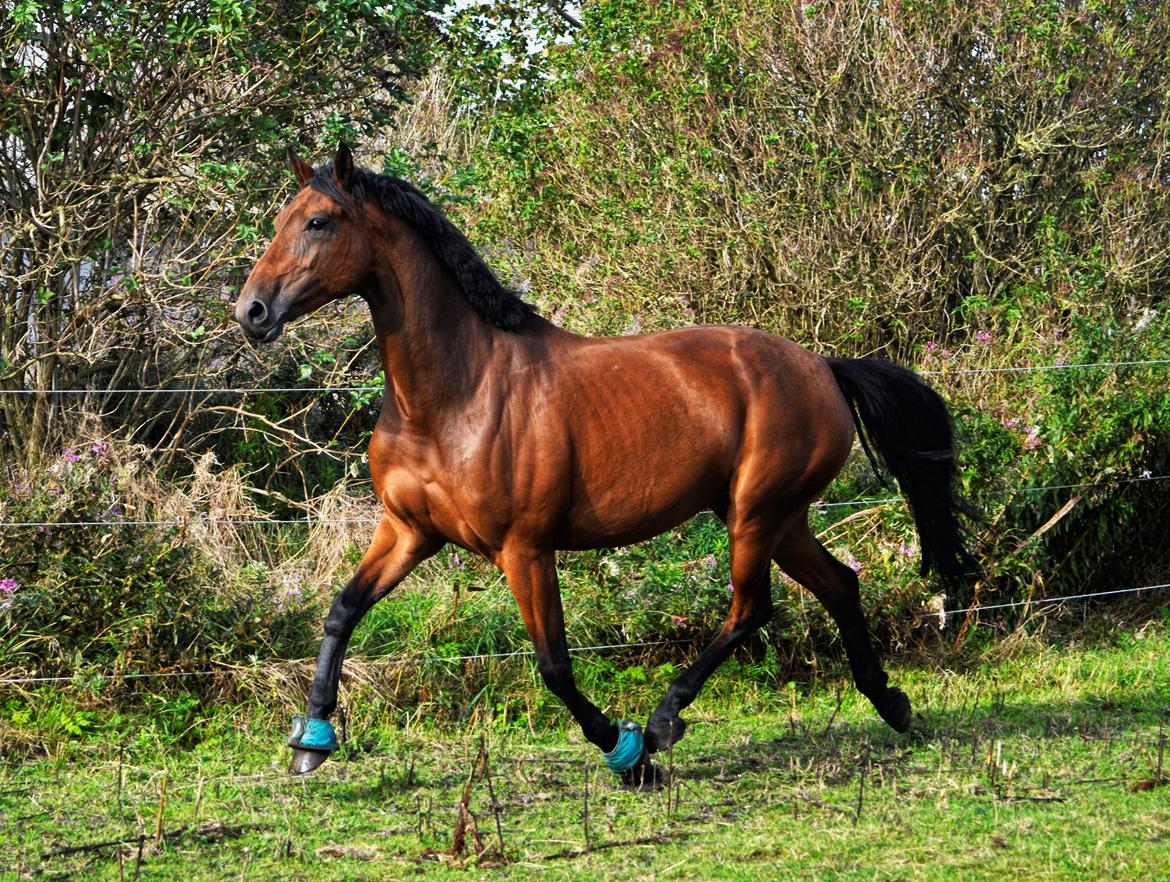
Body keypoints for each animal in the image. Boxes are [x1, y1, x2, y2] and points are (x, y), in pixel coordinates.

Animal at [232, 142, 973, 781]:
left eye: (319, 222)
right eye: (280, 220)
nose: (252, 312)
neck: (453, 397)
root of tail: (822, 366)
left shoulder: (524, 550)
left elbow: (555, 666)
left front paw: (627, 755)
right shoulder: (409, 532)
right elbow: (341, 611)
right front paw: (311, 739)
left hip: (755, 515)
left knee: (751, 609)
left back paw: (664, 722)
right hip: (779, 517)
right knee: (838, 586)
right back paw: (891, 703)